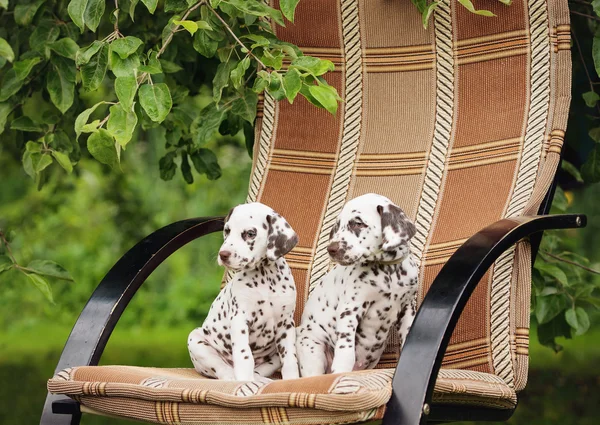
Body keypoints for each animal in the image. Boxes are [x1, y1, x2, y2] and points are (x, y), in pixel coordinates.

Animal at [188, 202, 300, 380]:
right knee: (222, 369)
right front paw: (245, 381)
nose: (223, 254)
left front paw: (291, 379)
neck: (265, 277)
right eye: (227, 230)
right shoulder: (240, 319)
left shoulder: (286, 325)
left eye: (250, 233)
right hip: (196, 339)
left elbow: (289, 359)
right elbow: (244, 355)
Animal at [296, 192, 418, 374]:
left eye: (357, 223)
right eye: (338, 225)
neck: (388, 272)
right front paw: (341, 369)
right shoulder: (351, 308)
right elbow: (345, 349)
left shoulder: (408, 308)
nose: (331, 249)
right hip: (312, 349)